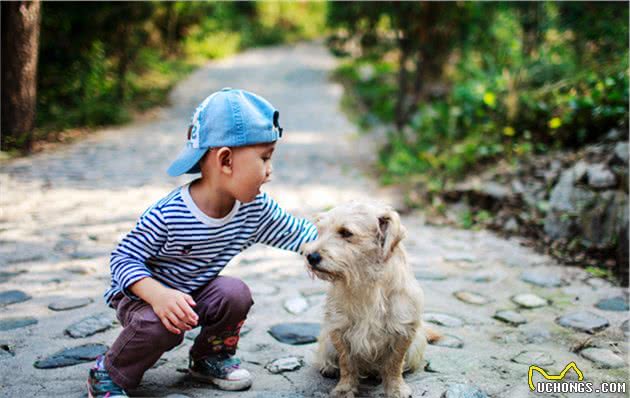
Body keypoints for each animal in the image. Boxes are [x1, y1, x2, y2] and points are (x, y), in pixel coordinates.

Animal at [304, 202, 436, 398]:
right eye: (320, 231)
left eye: (346, 233)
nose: (310, 256)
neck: (366, 282)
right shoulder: (338, 328)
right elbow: (347, 364)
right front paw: (345, 389)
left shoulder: (403, 330)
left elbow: (394, 364)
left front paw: (396, 388)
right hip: (326, 341)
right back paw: (329, 367)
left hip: (417, 343)